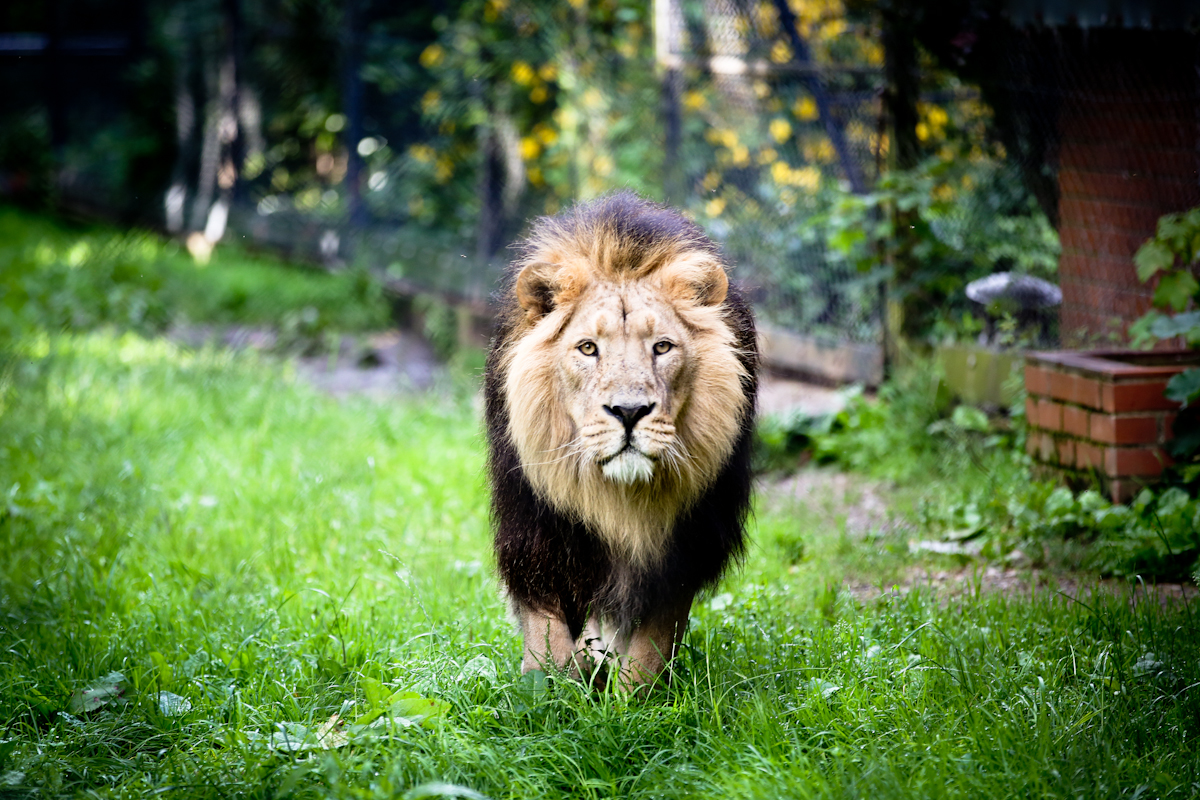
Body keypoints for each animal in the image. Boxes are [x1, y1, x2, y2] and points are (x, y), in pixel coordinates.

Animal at [482, 191, 753, 690]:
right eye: (588, 348)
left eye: (662, 347)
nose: (629, 412)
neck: (618, 499)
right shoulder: (534, 528)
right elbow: (544, 624)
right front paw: (550, 684)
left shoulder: (687, 545)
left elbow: (655, 634)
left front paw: (634, 698)